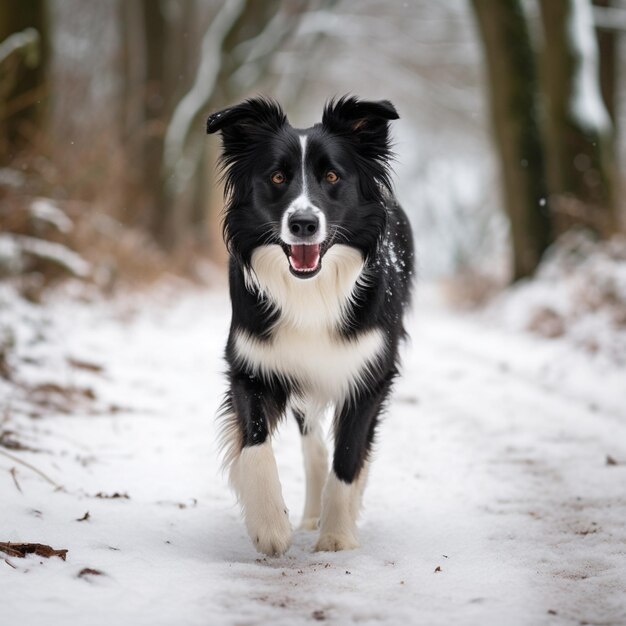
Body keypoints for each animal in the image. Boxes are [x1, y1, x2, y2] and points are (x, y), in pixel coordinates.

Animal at [206, 95, 414, 552]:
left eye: (332, 176)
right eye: (277, 176)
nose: (303, 224)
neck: (310, 293)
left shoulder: (370, 374)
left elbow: (349, 457)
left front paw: (337, 534)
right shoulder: (252, 364)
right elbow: (255, 443)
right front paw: (270, 526)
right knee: (312, 441)